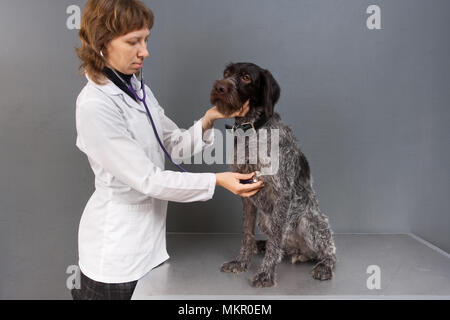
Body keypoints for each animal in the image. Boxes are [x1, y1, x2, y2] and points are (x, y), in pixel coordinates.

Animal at [211, 62, 338, 288]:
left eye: (246, 77)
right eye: (226, 73)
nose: (219, 87)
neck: (251, 132)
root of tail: (300, 251)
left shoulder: (282, 193)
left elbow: (275, 240)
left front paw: (266, 273)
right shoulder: (246, 191)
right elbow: (246, 232)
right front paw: (241, 262)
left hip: (310, 222)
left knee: (328, 251)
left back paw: (324, 266)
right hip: (265, 220)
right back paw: (262, 245)